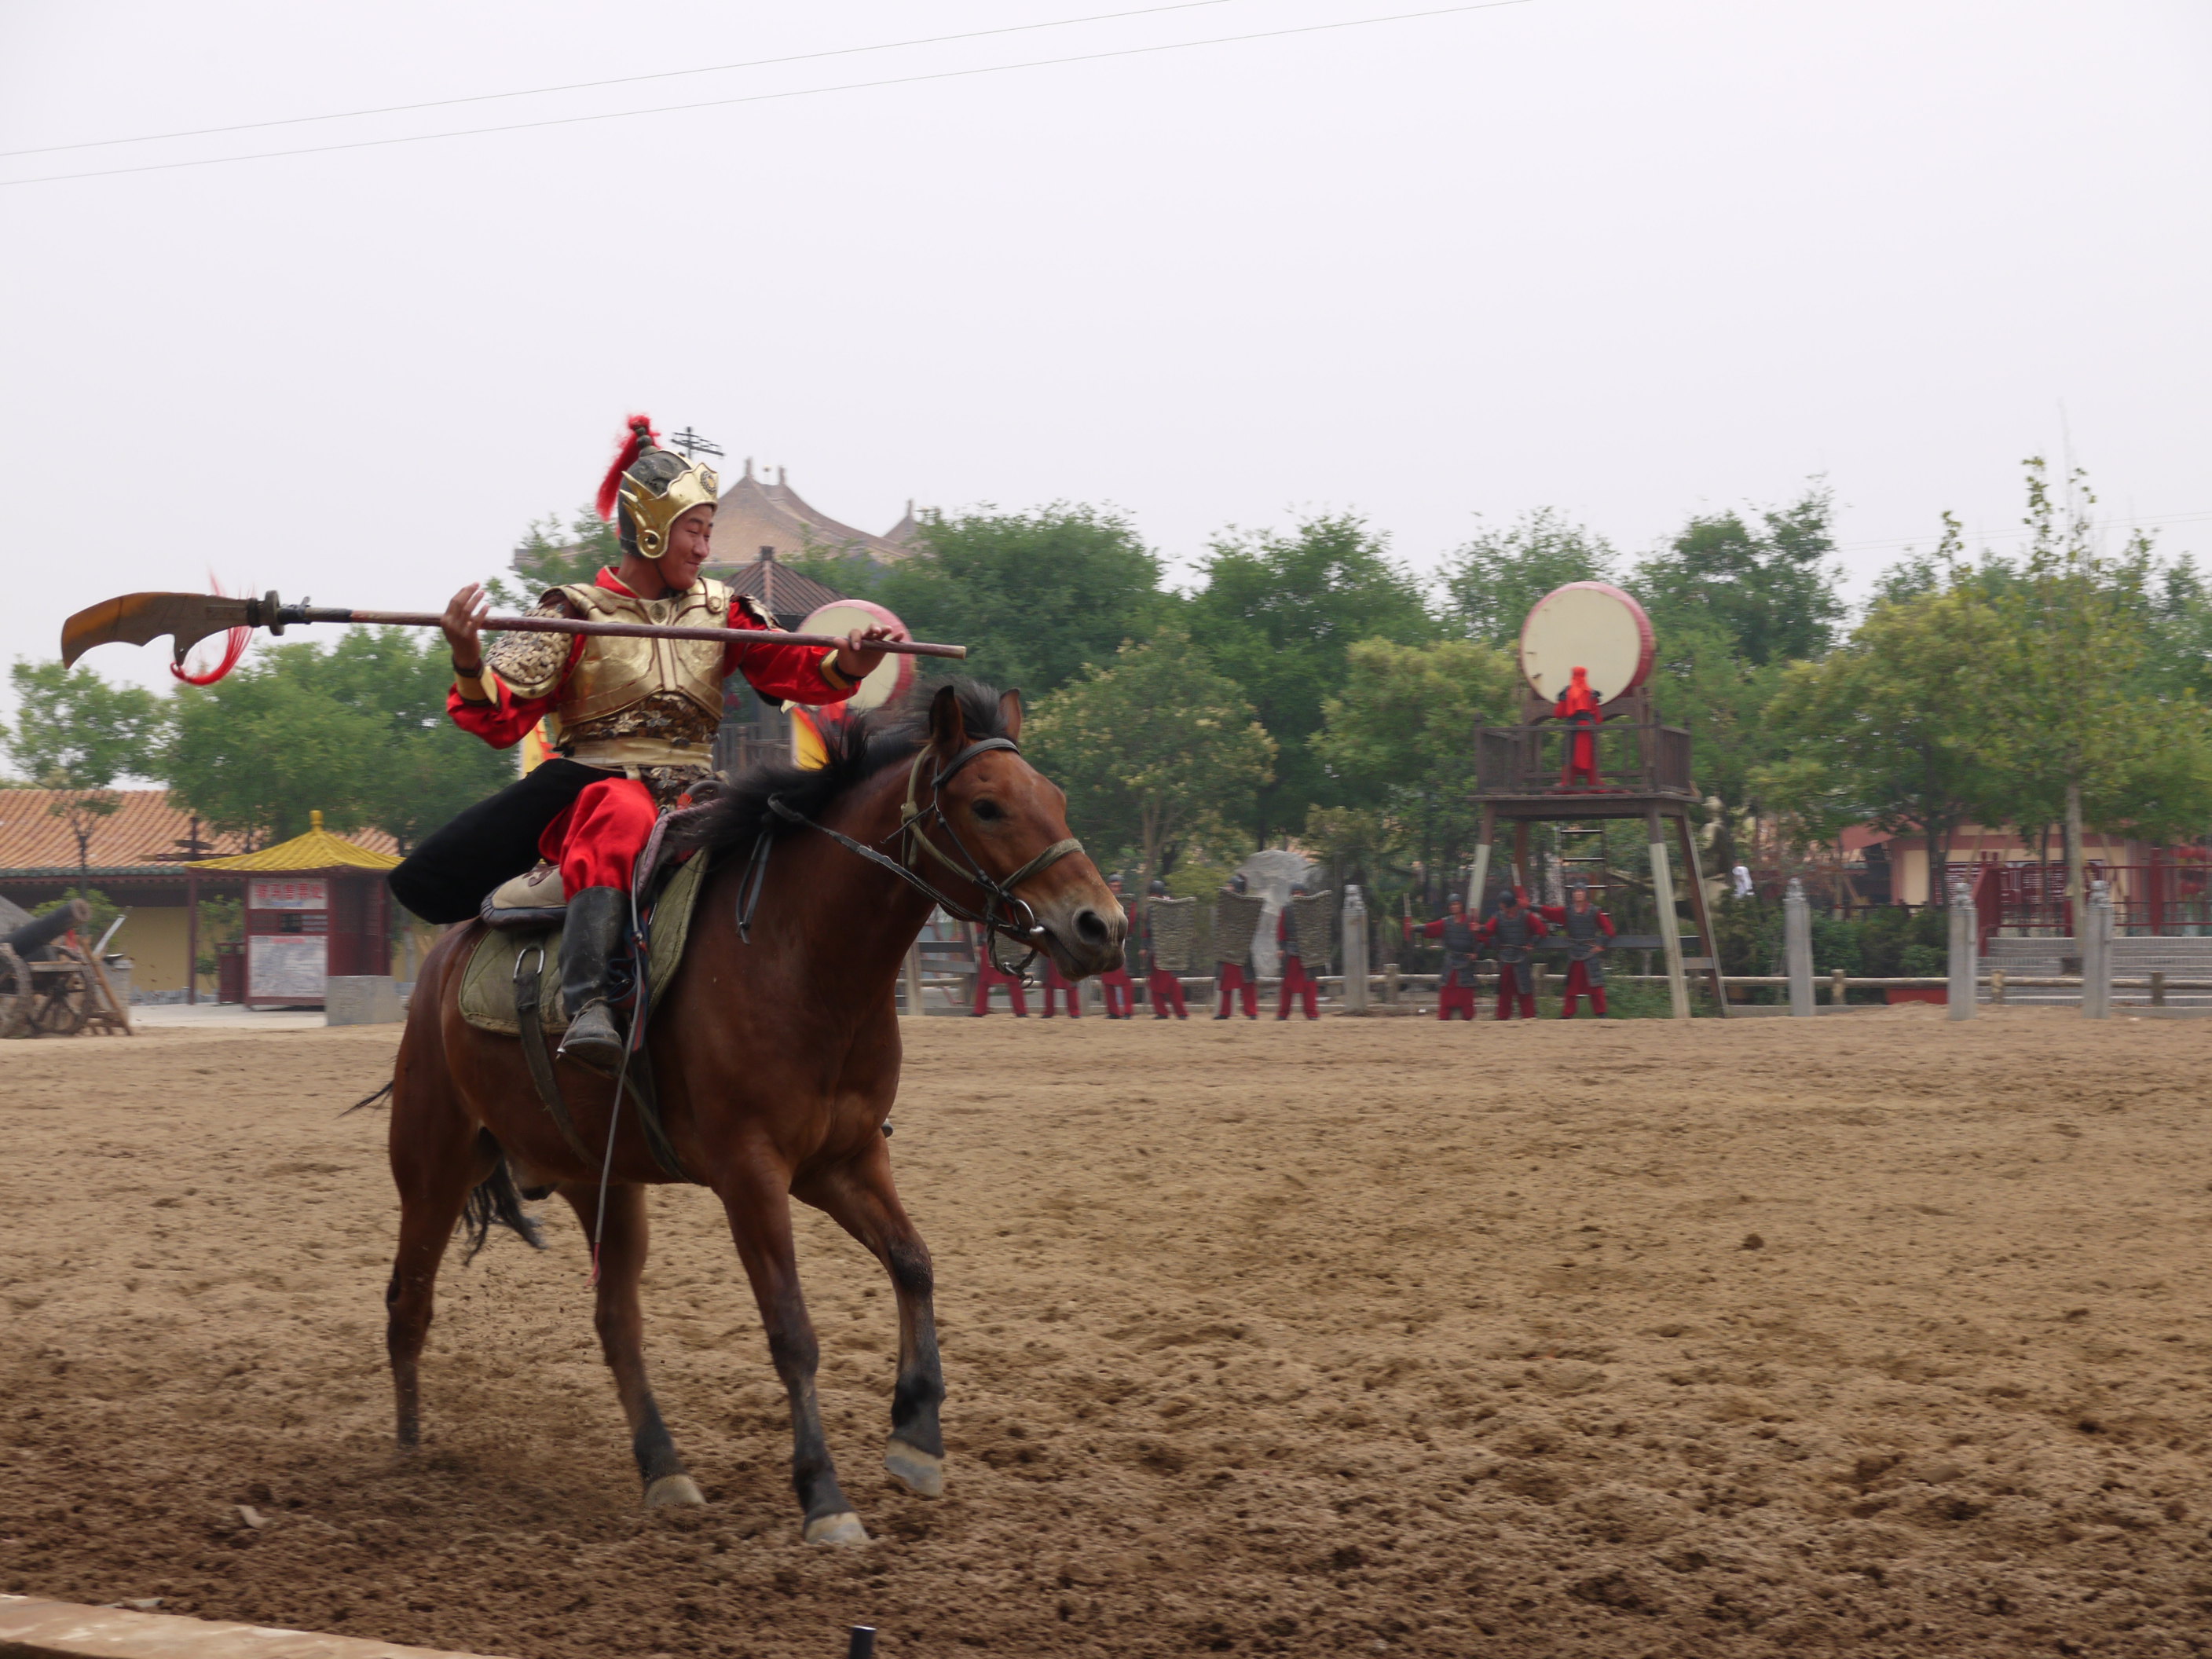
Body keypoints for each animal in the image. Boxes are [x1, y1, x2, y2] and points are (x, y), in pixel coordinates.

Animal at [378, 685, 1123, 1548]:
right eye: (987, 806)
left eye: (1055, 800)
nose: (1102, 927)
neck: (801, 957)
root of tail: (440, 964)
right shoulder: (752, 1173)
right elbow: (792, 1331)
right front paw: (824, 1496)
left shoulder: (845, 1160)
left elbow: (913, 1263)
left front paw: (916, 1437)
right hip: (433, 1163)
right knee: (408, 1305)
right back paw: (409, 1463)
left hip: (602, 1184)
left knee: (615, 1321)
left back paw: (663, 1470)